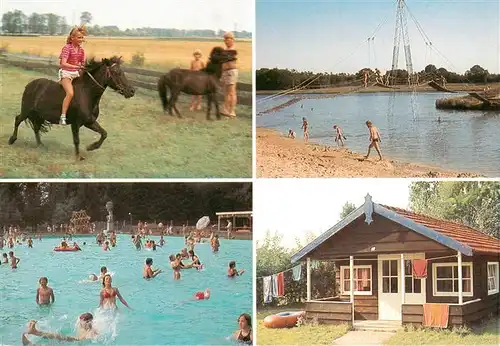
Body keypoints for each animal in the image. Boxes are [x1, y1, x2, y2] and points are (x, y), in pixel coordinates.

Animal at [8, 56, 137, 160]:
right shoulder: (76, 123)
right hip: (27, 110)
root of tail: (30, 85)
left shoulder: (89, 122)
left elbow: (104, 133)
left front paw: (91, 147)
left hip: (39, 115)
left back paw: (40, 145)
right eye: (116, 72)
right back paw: (12, 140)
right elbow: (77, 140)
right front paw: (78, 157)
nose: (131, 91)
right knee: (18, 119)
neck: (87, 94)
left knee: (36, 128)